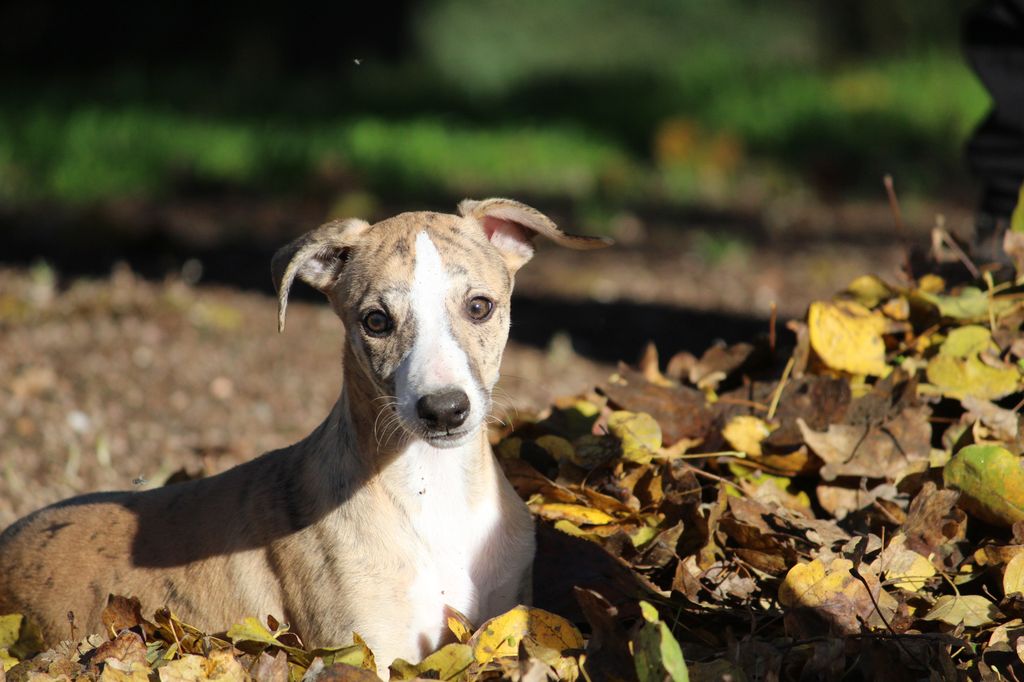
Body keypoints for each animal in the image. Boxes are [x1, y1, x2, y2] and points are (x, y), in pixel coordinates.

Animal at [0, 197, 606, 675]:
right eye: (376, 321)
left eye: (480, 306)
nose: (444, 411)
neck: (430, 493)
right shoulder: (366, 651)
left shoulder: (505, 619)